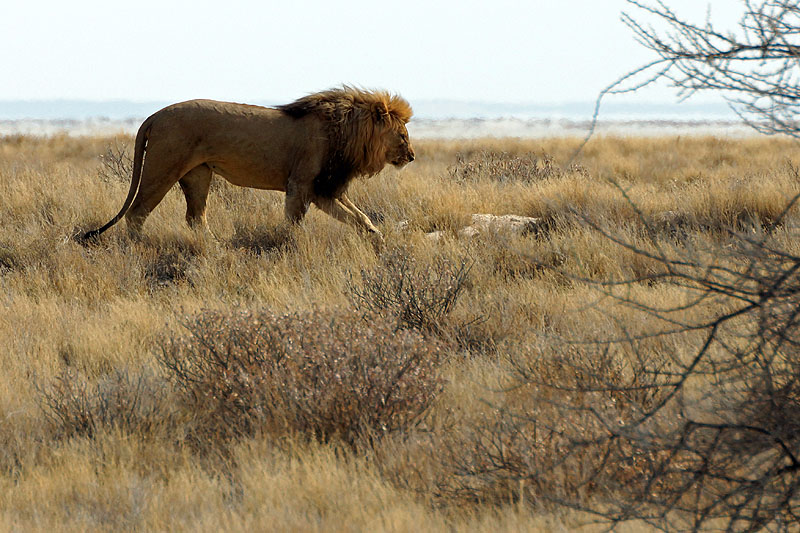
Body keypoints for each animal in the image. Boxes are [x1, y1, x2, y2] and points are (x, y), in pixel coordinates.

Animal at [80, 87, 416, 243]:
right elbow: (295, 221)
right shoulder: (304, 185)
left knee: (195, 218)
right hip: (162, 168)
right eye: (402, 135)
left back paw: (215, 246)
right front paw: (290, 244)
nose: (412, 156)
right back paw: (141, 246)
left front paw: (378, 240)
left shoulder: (328, 189)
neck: (348, 134)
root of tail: (154, 115)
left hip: (197, 175)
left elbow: (360, 217)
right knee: (137, 213)